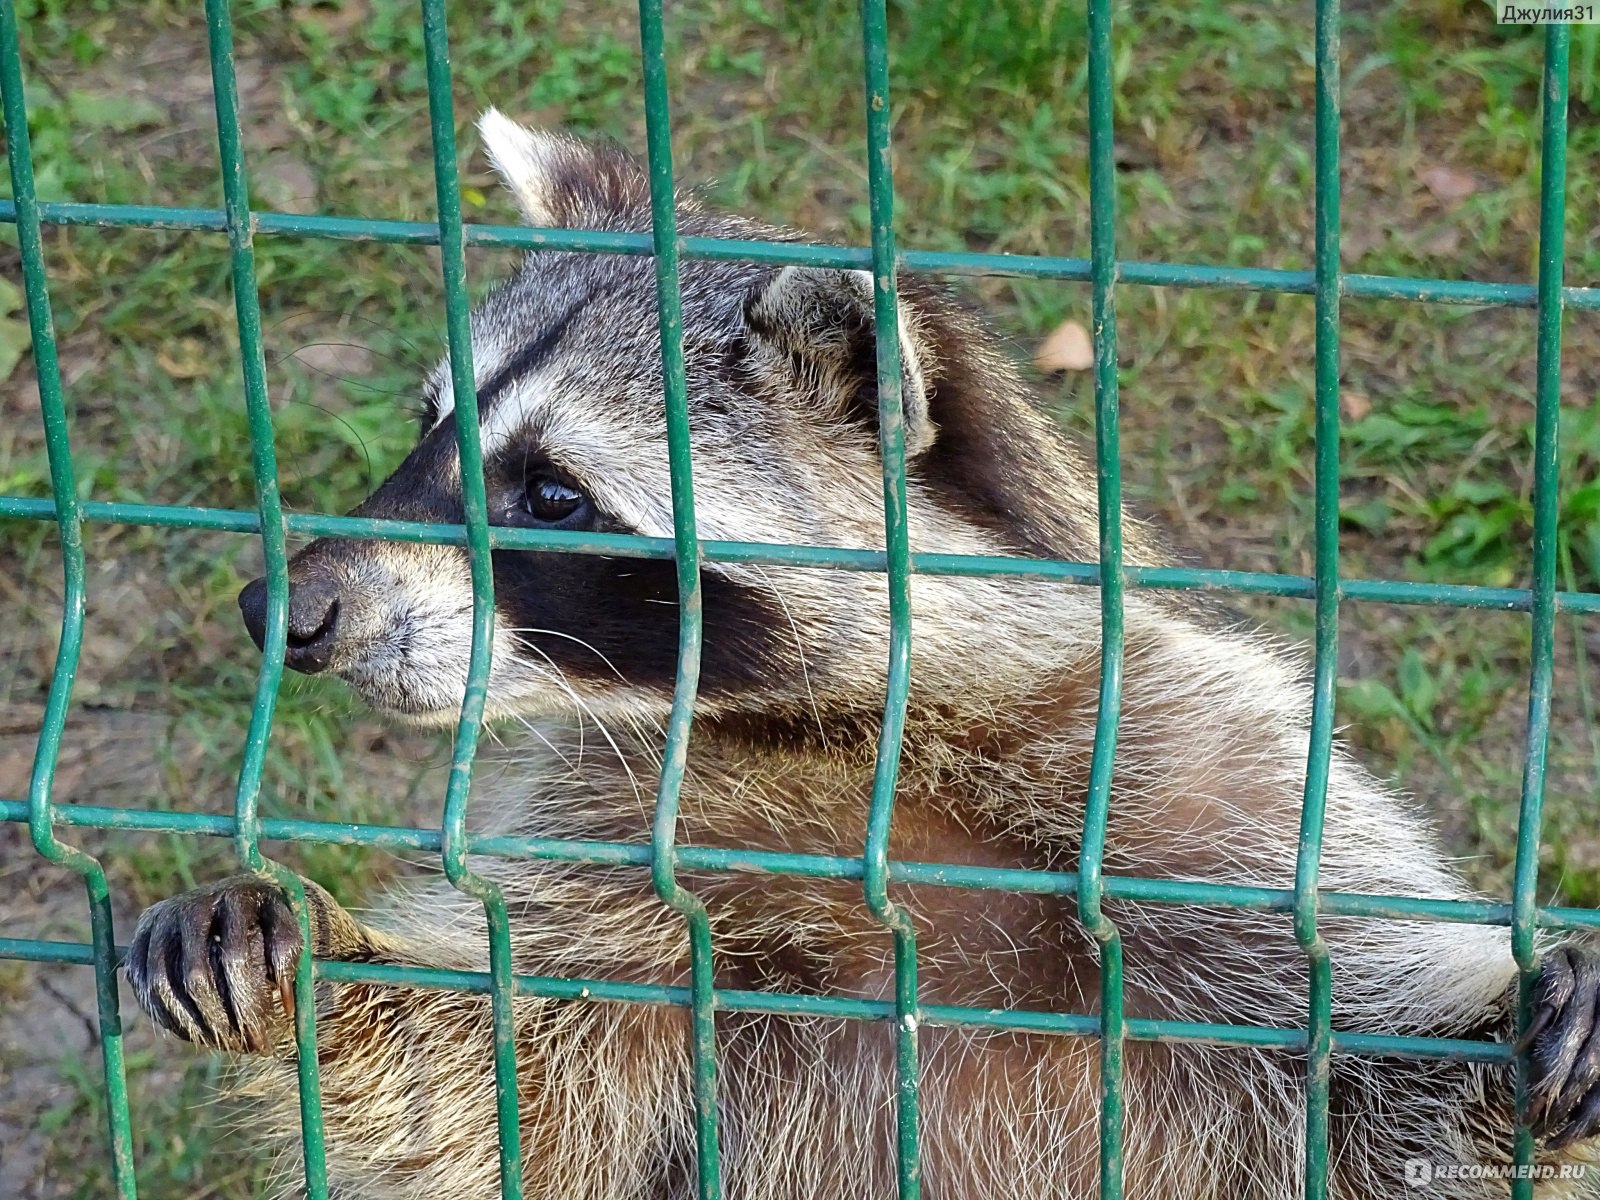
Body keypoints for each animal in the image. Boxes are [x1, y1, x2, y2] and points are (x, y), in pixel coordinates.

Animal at [121, 110, 1600, 1196]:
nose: (286, 609)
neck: (836, 734)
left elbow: (1364, 1105)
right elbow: (508, 1088)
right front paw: (309, 965)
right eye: (429, 425)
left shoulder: (1205, 788)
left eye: (552, 494)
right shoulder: (621, 851)